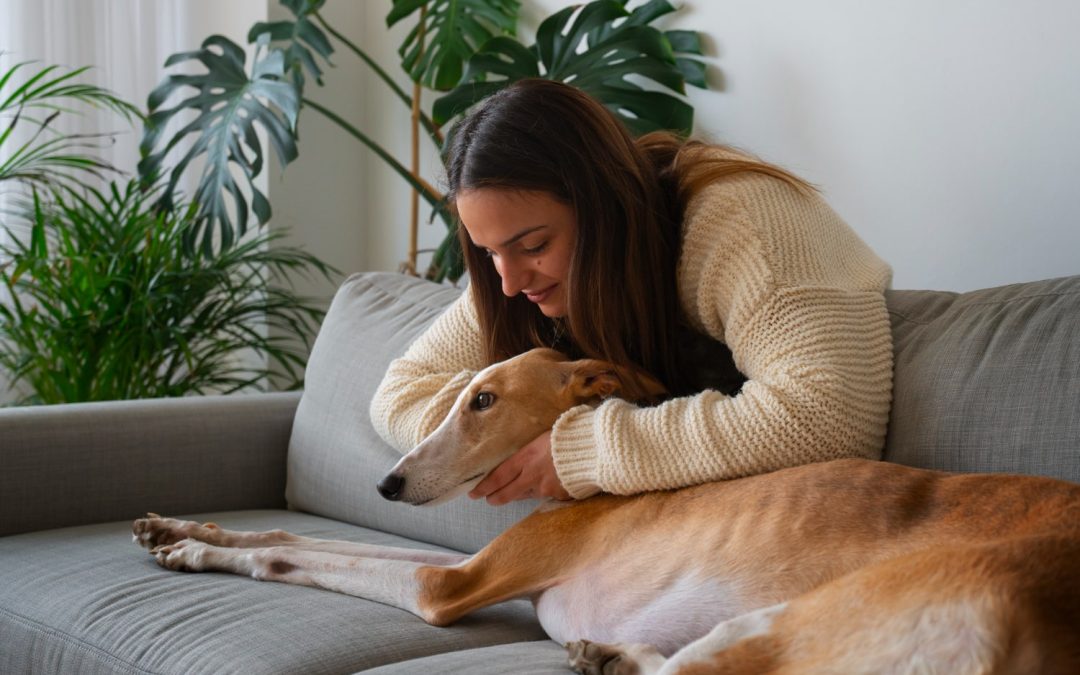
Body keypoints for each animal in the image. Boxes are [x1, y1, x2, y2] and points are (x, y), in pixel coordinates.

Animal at [132, 347, 1080, 673]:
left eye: (483, 400)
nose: (387, 488)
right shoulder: (486, 567)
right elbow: (290, 527)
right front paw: (181, 527)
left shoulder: (455, 583)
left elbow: (297, 553)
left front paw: (201, 552)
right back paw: (608, 656)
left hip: (846, 604)